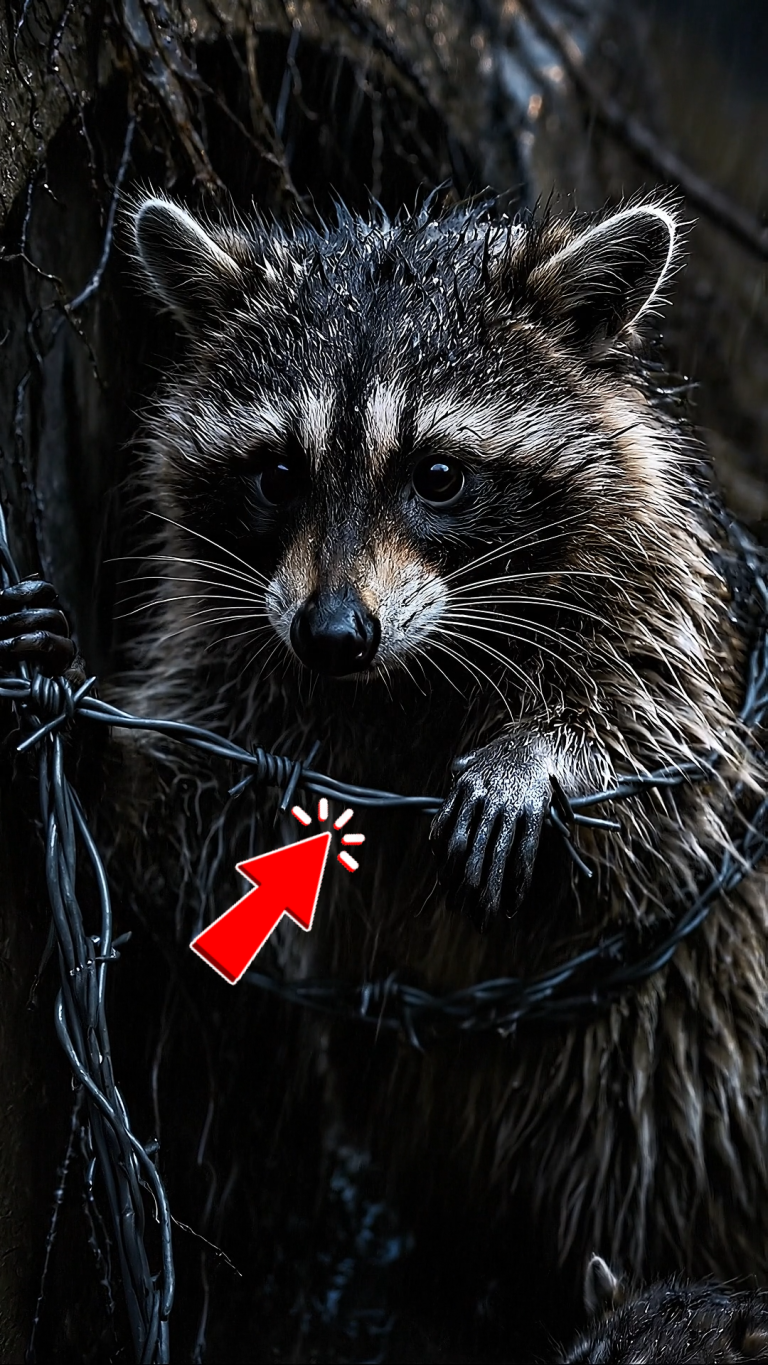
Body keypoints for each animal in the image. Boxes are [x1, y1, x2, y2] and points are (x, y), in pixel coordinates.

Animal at [4, 194, 768, 1301]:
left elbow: (675, 779)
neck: (405, 678)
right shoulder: (245, 666)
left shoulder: (666, 603)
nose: (332, 634)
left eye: (439, 477)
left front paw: (549, 756)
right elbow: (189, 837)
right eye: (277, 474)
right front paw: (96, 739)